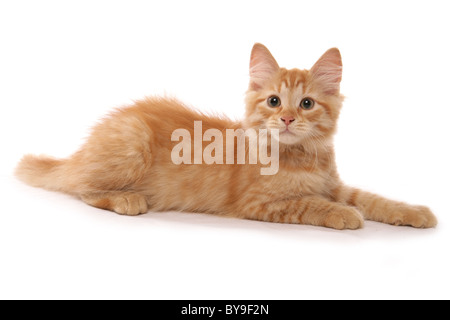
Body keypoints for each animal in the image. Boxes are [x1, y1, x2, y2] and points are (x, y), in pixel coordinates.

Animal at [16, 44, 436, 230]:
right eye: (273, 101)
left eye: (306, 103)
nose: (286, 118)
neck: (299, 156)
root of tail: (80, 152)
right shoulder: (259, 204)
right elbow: (311, 205)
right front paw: (345, 216)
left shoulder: (334, 185)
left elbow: (372, 198)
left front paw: (414, 211)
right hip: (131, 144)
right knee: (80, 187)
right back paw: (126, 199)